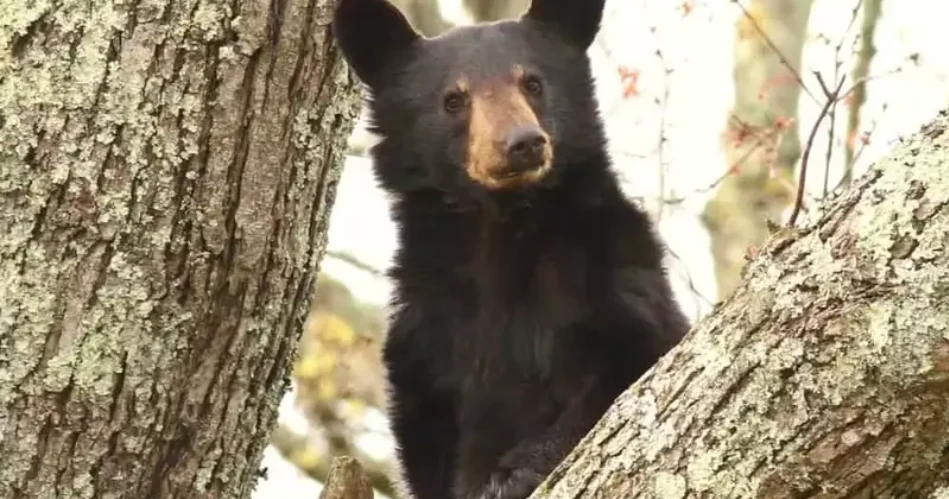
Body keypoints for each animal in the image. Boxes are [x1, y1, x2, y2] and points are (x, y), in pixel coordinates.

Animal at [332, 1, 691, 498]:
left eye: (533, 83)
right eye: (454, 99)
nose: (523, 142)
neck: (500, 229)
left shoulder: (607, 270)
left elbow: (628, 365)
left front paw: (513, 472)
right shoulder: (428, 335)